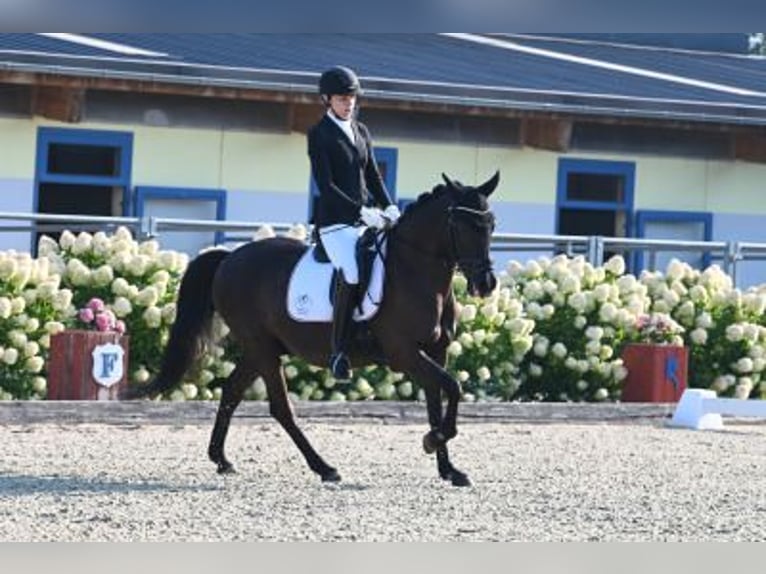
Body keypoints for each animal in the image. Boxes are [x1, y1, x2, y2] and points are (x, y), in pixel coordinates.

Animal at [132, 173, 500, 488]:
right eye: (463, 225)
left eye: (491, 225)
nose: (486, 284)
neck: (415, 271)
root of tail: (228, 258)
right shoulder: (404, 353)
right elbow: (453, 388)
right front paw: (432, 441)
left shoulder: (435, 351)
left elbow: (438, 401)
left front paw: (449, 469)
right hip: (262, 347)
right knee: (280, 408)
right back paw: (324, 468)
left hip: (261, 348)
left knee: (232, 391)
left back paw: (221, 459)